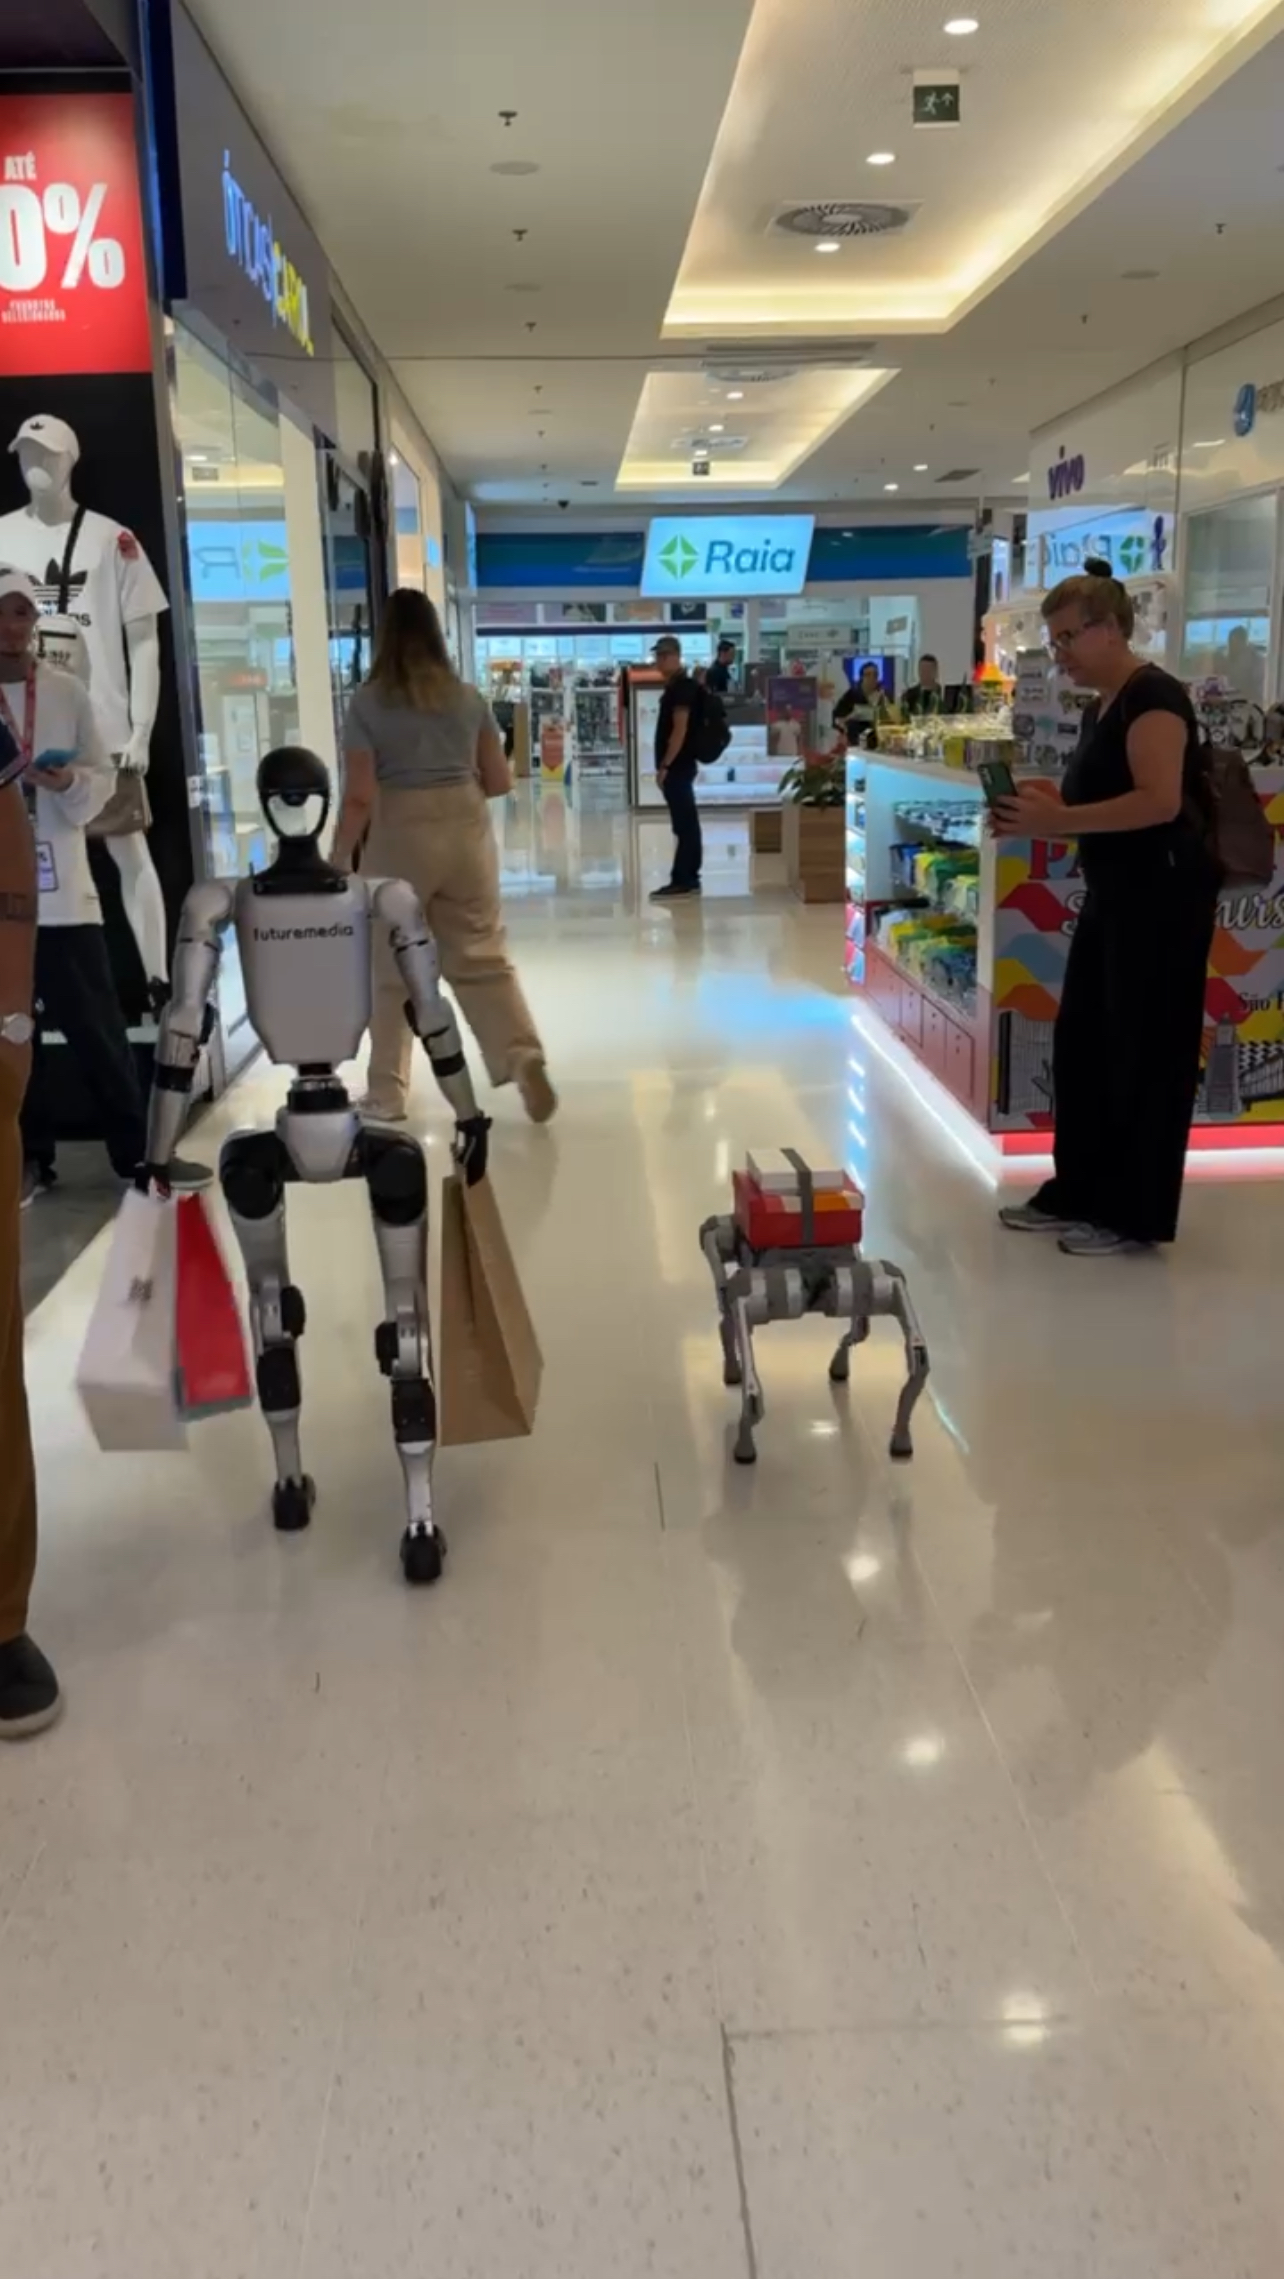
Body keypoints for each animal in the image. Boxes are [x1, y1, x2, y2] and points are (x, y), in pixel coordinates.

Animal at [141, 747, 492, 1586]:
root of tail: (324, 1150)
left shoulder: (373, 896)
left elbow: (429, 1008)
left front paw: (473, 1128)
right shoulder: (233, 898)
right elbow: (184, 1018)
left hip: (319, 1168)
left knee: (340, 1324)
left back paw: (363, 1511)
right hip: (304, 1166)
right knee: (320, 1324)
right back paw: (354, 1508)